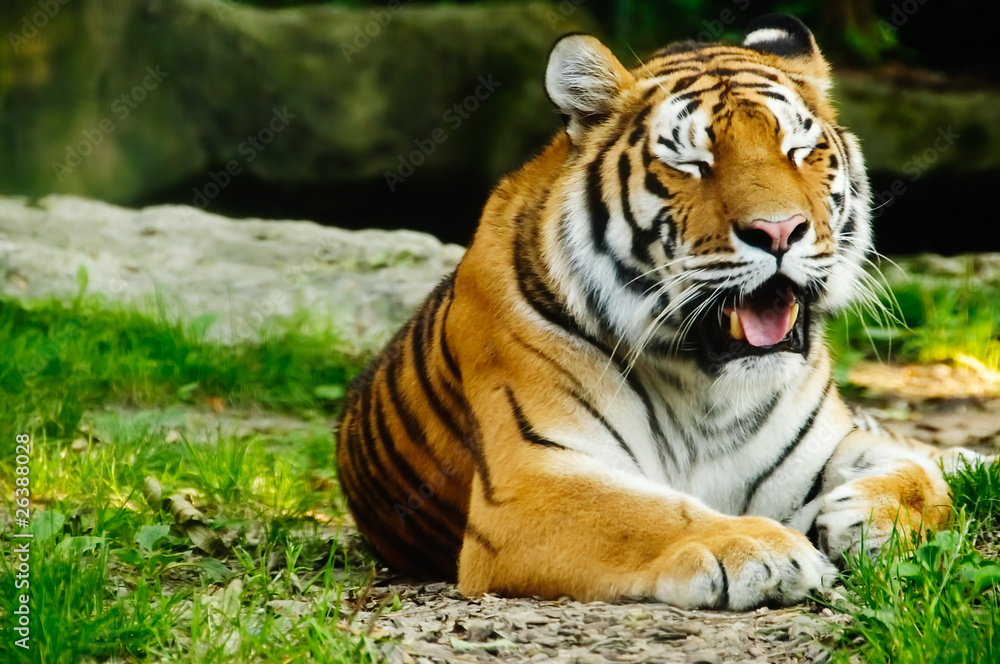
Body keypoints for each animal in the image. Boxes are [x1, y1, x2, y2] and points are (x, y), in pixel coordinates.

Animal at [336, 14, 985, 610]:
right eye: (692, 163)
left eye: (799, 150)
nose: (779, 231)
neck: (707, 386)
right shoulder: (531, 481)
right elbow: (647, 512)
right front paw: (763, 549)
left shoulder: (827, 442)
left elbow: (921, 470)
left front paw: (868, 517)